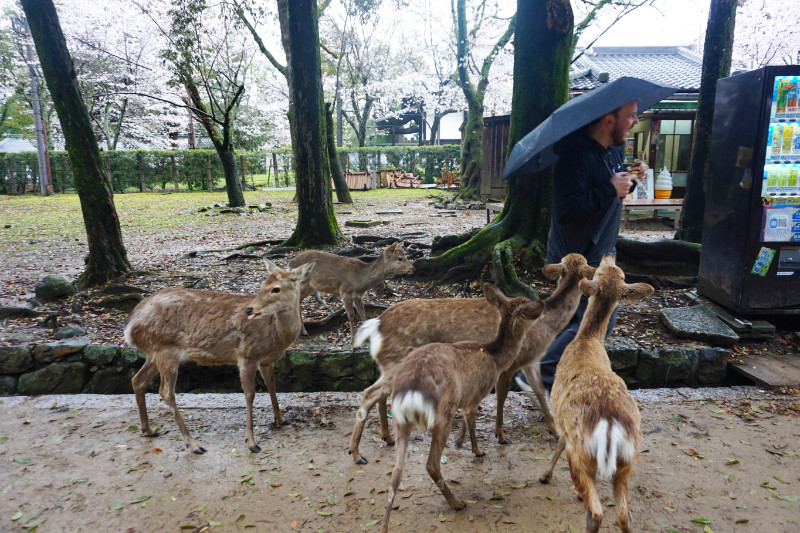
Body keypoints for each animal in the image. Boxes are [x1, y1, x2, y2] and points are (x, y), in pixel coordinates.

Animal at [124, 260, 314, 455]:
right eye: (262, 285)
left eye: (276, 289)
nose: (249, 310)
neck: (275, 334)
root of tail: (129, 326)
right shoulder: (247, 355)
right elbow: (250, 395)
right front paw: (251, 442)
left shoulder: (266, 361)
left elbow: (272, 387)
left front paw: (281, 420)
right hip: (165, 350)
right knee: (165, 392)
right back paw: (194, 444)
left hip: (154, 353)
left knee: (137, 380)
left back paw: (148, 430)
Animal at [348, 253, 594, 464]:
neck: (548, 326)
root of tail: (376, 324)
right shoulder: (510, 363)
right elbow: (502, 396)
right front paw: (499, 435)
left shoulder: (531, 361)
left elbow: (541, 391)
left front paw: (554, 429)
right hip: (397, 361)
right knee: (371, 393)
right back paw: (357, 453)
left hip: (388, 363)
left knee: (379, 395)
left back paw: (385, 437)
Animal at [380, 284, 544, 533]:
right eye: (526, 304)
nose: (543, 303)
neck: (495, 358)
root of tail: (411, 390)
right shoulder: (474, 396)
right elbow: (472, 423)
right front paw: (478, 450)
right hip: (442, 414)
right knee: (432, 464)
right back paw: (457, 503)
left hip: (400, 420)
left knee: (395, 476)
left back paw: (385, 526)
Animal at [539, 254, 653, 533]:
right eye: (613, 271)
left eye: (600, 269)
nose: (607, 255)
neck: (587, 341)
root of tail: (610, 427)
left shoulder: (563, 421)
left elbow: (559, 442)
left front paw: (545, 476)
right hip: (627, 461)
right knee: (624, 515)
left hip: (581, 454)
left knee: (596, 513)